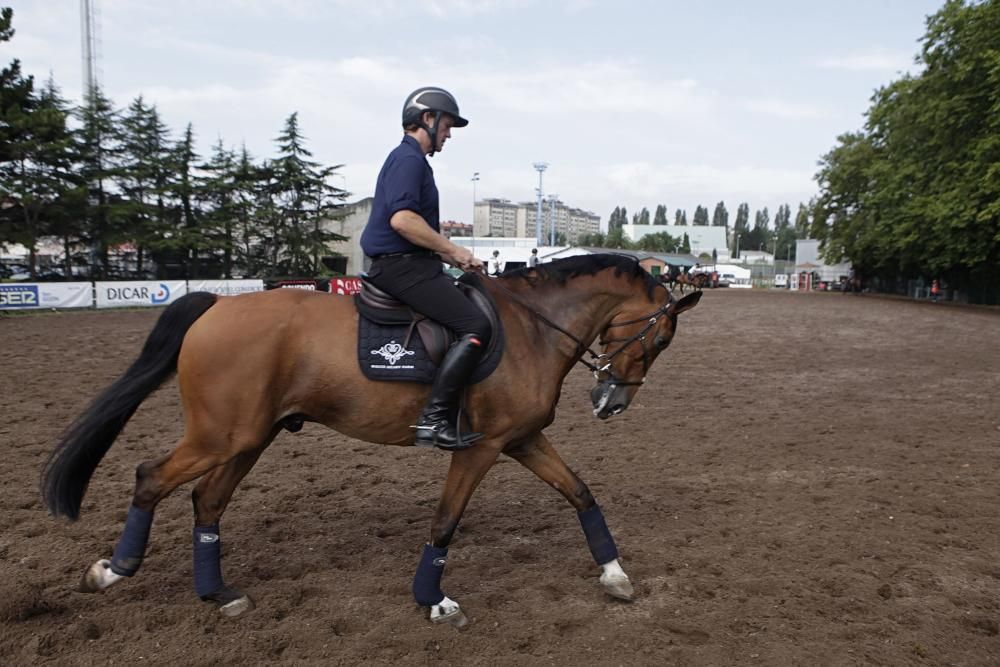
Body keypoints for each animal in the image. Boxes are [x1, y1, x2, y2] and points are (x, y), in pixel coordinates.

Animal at [43, 253, 700, 628]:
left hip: (251, 437)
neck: (532, 328)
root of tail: (214, 309)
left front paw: (614, 574)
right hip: (219, 435)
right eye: (661, 339)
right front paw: (433, 600)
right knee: (150, 477)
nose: (611, 403)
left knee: (207, 501)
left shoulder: (522, 439)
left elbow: (581, 493)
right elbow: (444, 522)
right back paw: (112, 571)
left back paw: (218, 593)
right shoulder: (481, 447)